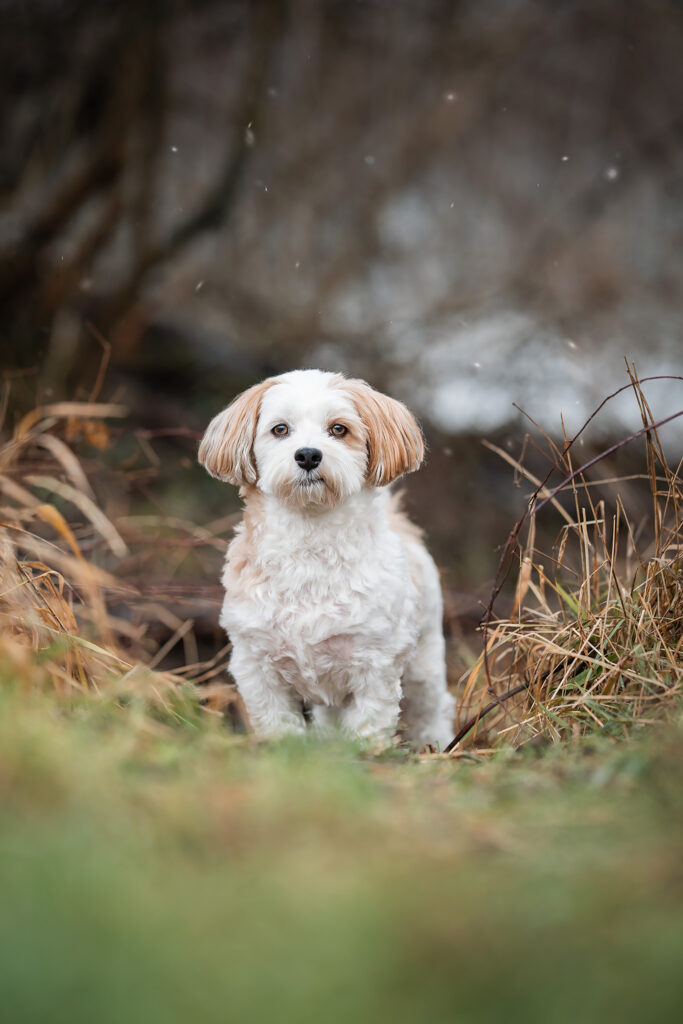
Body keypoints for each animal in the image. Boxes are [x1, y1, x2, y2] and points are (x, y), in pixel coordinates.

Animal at [197, 372, 454, 749]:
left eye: (338, 429)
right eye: (280, 429)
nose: (307, 454)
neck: (310, 545)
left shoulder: (375, 663)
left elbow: (368, 723)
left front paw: (365, 753)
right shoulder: (256, 663)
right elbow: (277, 721)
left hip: (425, 657)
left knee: (432, 707)